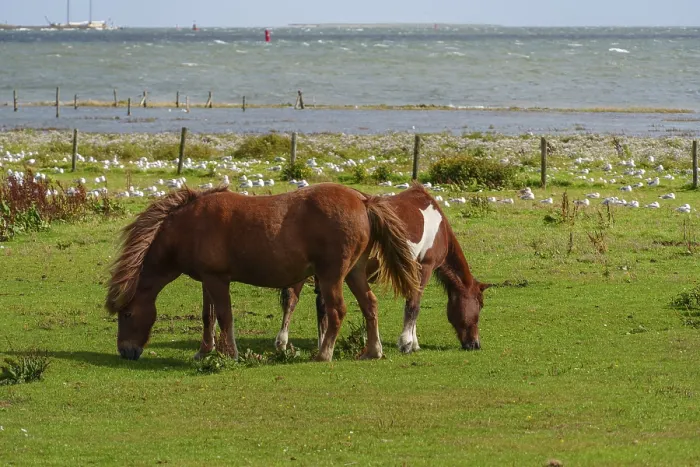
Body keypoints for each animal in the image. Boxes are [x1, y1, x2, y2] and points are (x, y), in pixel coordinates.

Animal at [105, 183, 420, 362]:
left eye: (127, 314)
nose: (126, 351)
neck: (189, 225)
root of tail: (363, 201)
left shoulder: (218, 280)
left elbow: (225, 317)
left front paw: (231, 355)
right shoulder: (207, 280)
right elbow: (208, 317)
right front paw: (204, 351)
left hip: (332, 276)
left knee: (337, 311)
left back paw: (324, 354)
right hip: (354, 273)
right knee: (370, 305)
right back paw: (372, 351)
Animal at [275, 182, 490, 354]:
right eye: (480, 305)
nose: (475, 344)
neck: (439, 227)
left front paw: (414, 342)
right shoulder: (424, 268)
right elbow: (414, 305)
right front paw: (406, 343)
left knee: (317, 304)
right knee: (293, 300)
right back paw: (283, 342)